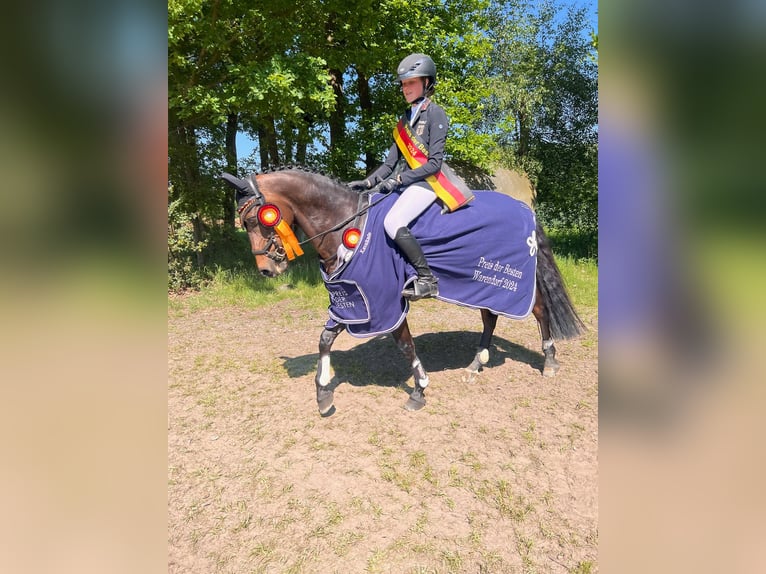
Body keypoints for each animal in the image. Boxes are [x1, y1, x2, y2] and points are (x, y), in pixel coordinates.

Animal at [219, 166, 584, 414]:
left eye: (253, 220)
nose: (267, 270)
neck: (347, 222)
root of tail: (526, 211)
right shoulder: (352, 299)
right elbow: (325, 339)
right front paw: (323, 394)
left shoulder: (381, 300)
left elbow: (405, 345)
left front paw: (419, 391)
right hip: (480, 284)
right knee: (489, 319)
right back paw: (475, 364)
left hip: (510, 282)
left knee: (539, 310)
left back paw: (549, 362)